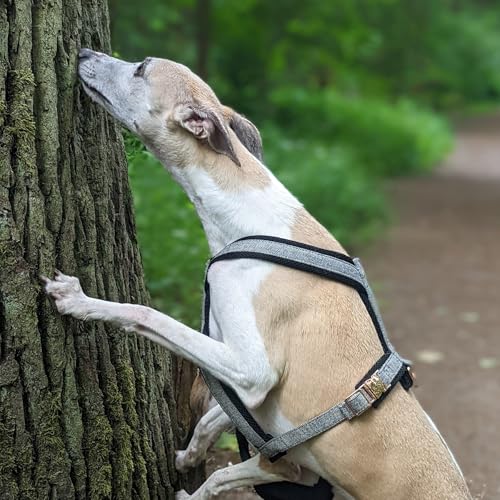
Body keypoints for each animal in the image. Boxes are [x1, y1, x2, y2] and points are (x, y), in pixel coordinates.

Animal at [44, 49, 472, 500]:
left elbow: (147, 314)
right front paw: (190, 457)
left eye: (141, 68)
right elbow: (218, 433)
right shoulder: (284, 455)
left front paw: (78, 300)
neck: (250, 219)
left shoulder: (252, 371)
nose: (84, 53)